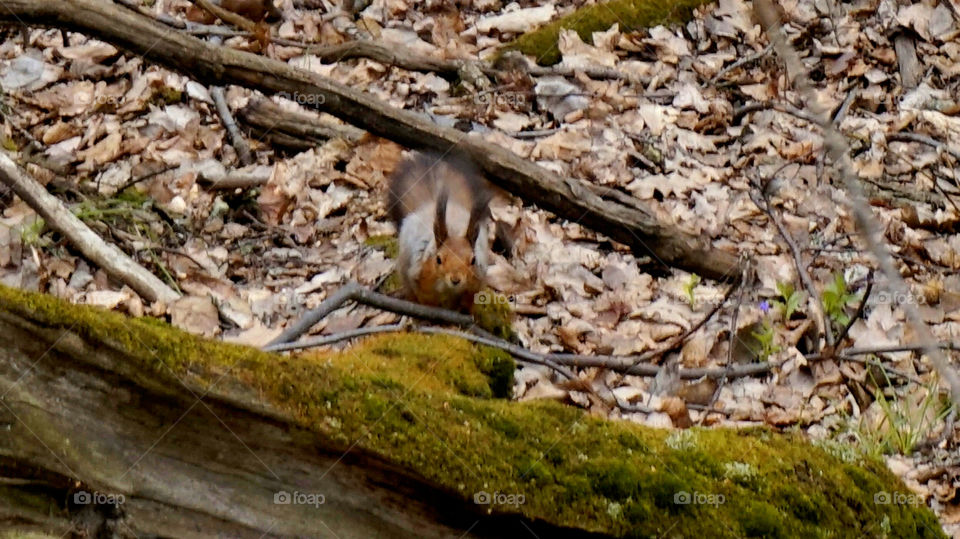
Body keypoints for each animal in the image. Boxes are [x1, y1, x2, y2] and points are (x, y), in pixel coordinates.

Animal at [387, 151, 493, 312]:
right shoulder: (420, 277)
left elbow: (468, 301)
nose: (455, 280)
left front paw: (463, 311)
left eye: (473, 260)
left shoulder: (475, 282)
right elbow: (426, 299)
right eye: (438, 259)